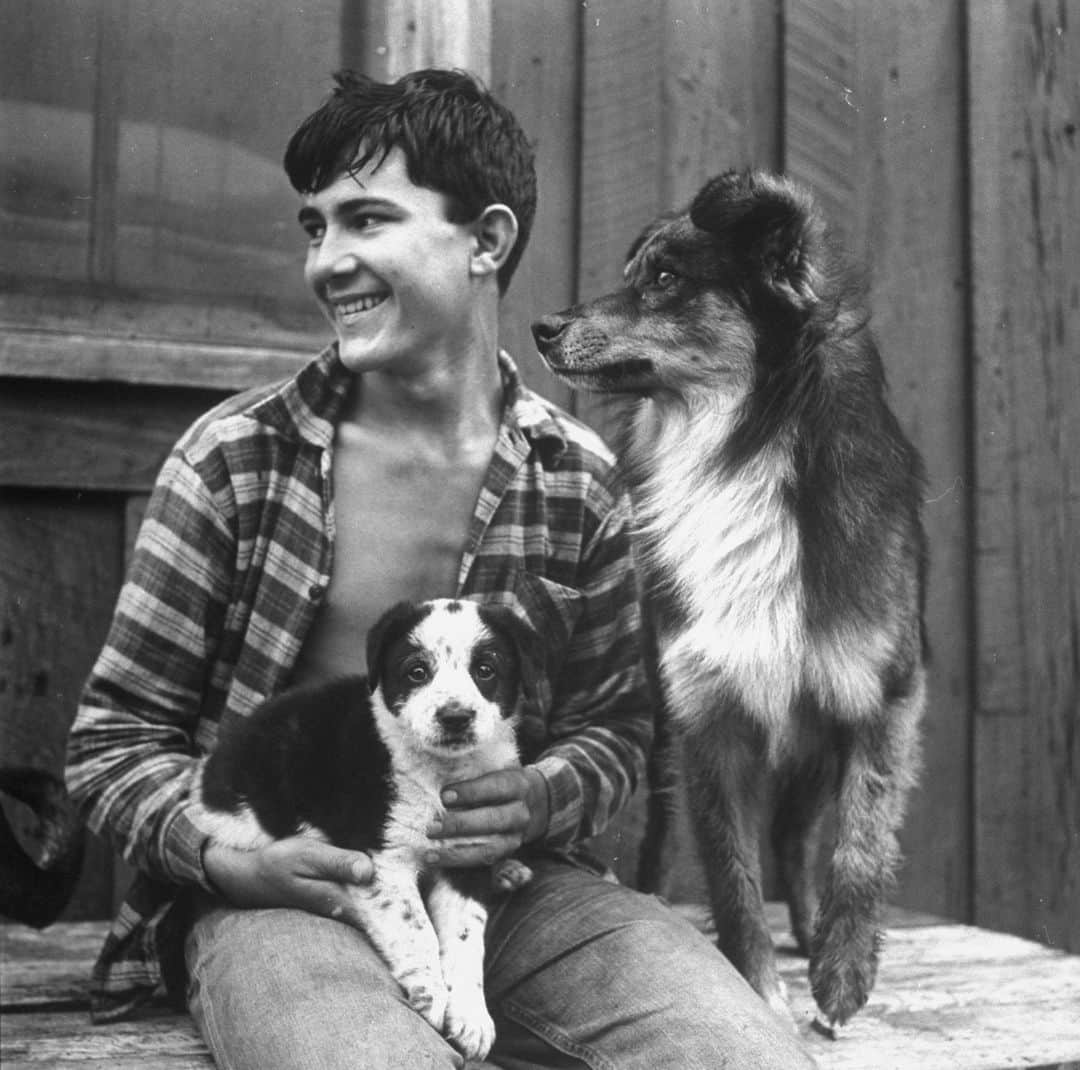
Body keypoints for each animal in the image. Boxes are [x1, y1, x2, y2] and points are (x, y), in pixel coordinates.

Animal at [192, 600, 537, 1058]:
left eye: (485, 670)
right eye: (416, 672)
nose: (455, 717)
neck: (438, 775)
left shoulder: (471, 846)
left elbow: (466, 937)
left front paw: (471, 1017)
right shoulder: (382, 857)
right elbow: (417, 927)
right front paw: (429, 993)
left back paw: (509, 870)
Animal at [531, 171, 928, 1032]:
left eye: (666, 278)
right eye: (636, 270)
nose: (543, 327)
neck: (741, 445)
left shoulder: (881, 693)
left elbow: (861, 843)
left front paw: (842, 977)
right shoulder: (705, 711)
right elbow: (730, 867)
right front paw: (754, 985)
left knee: (797, 839)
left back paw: (811, 934)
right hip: (658, 727)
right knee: (682, 838)